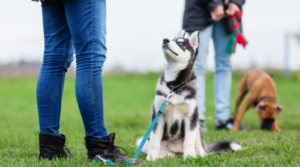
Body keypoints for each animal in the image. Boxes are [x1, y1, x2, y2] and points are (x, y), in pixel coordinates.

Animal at [136, 30, 241, 160]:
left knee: (200, 149)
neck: (174, 86)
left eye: (181, 43)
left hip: (197, 128)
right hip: (142, 141)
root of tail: (176, 152)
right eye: (172, 39)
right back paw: (163, 157)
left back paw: (197, 155)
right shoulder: (158, 116)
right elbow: (155, 141)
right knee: (163, 151)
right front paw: (151, 158)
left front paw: (190, 157)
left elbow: (189, 140)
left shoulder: (191, 117)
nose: (165, 40)